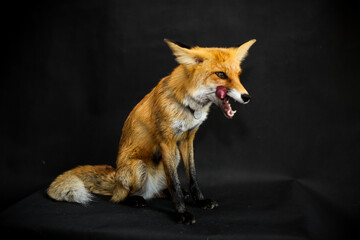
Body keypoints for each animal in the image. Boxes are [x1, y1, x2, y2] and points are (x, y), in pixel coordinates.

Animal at [47, 38, 256, 224]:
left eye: (238, 75)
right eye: (221, 75)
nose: (247, 97)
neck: (188, 106)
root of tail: (116, 178)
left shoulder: (187, 139)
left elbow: (192, 177)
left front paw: (199, 200)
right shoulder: (167, 140)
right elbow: (174, 183)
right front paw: (181, 214)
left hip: (173, 158)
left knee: (156, 193)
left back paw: (163, 194)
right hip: (139, 167)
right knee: (119, 198)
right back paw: (136, 200)